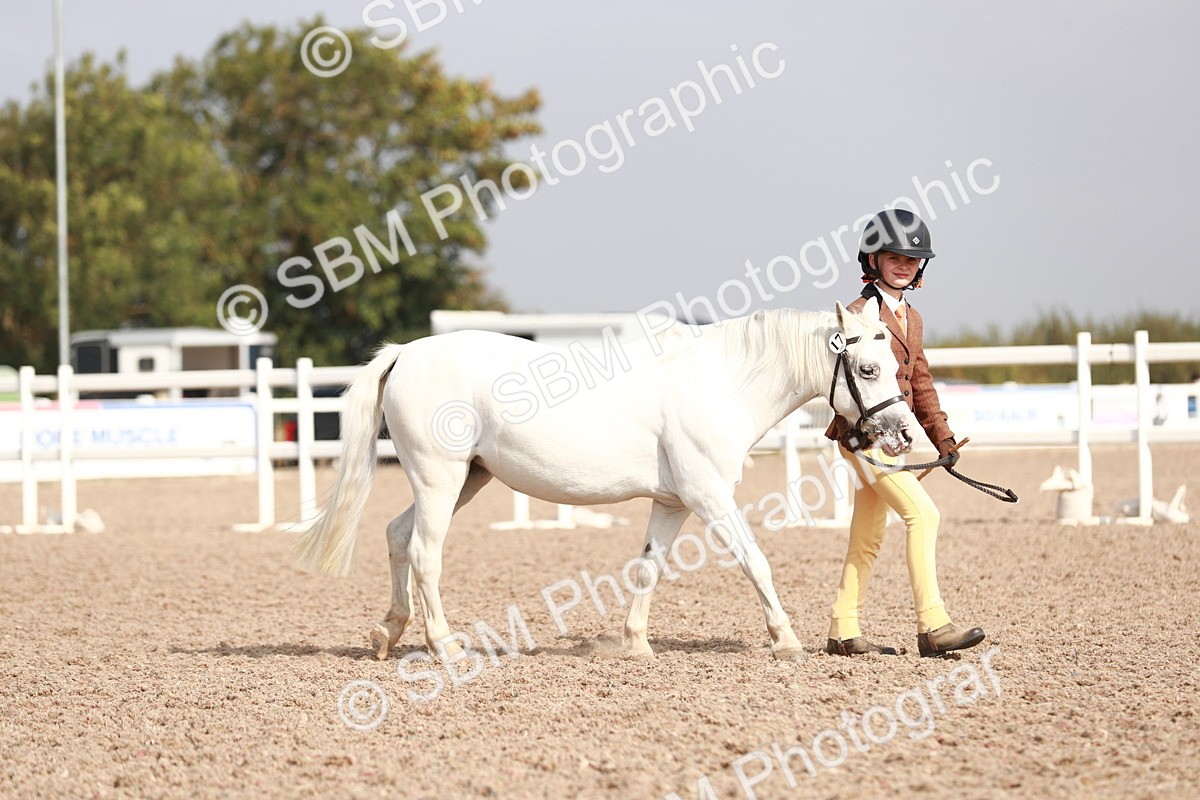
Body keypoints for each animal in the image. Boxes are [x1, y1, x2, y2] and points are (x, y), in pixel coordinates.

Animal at [295, 299, 918, 661]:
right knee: (425, 552)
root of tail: (405, 354)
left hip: (465, 480)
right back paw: (444, 646)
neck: (721, 380)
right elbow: (755, 561)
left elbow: (648, 567)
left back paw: (387, 634)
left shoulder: (673, 503)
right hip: (439, 479)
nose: (903, 436)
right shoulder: (709, 496)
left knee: (399, 537)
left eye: (894, 365)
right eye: (868, 368)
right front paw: (786, 640)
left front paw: (636, 644)